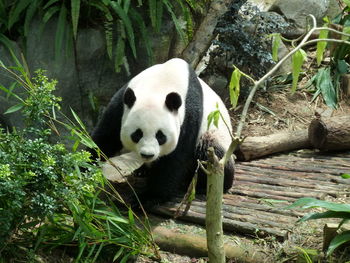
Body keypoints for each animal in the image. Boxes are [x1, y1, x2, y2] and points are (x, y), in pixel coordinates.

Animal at [91, 57, 235, 202]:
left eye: (161, 136)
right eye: (137, 134)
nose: (147, 155)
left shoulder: (189, 116)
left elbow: (175, 158)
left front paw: (148, 197)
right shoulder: (122, 103)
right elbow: (106, 136)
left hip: (214, 133)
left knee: (210, 151)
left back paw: (205, 185)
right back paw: (142, 171)